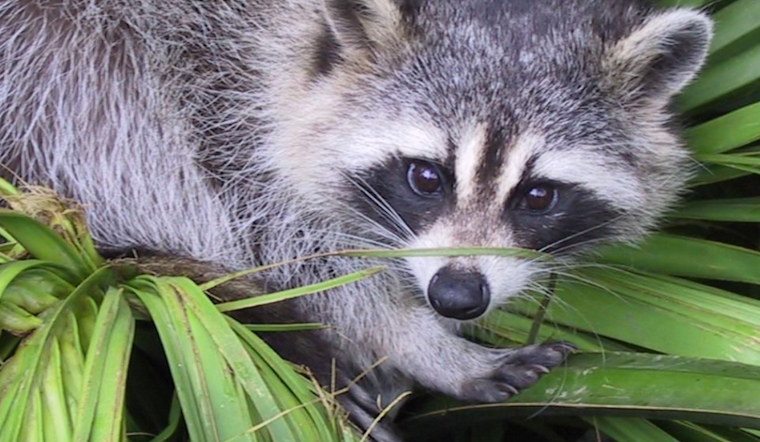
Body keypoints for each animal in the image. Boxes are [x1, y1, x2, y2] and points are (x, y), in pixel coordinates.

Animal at [0, 0, 712, 440]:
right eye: (426, 178)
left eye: (538, 196)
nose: (456, 296)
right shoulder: (214, 89)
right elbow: (295, 249)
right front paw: (421, 343)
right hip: (51, 62)